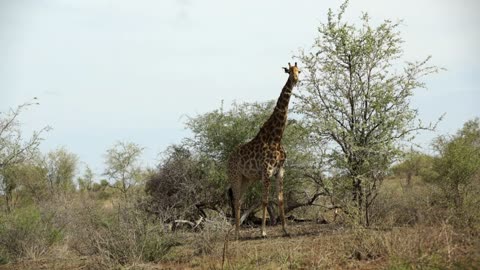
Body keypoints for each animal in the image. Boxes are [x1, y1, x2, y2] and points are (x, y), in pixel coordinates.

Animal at [226, 61, 300, 238]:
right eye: (289, 71)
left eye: (299, 71)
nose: (296, 80)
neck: (276, 137)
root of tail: (228, 159)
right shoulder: (266, 170)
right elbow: (265, 200)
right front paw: (263, 232)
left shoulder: (280, 170)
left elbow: (280, 200)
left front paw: (286, 230)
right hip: (235, 176)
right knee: (236, 200)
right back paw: (236, 234)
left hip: (247, 179)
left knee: (239, 200)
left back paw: (238, 232)